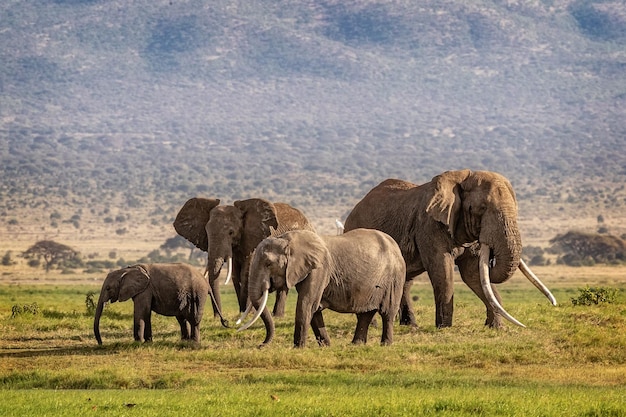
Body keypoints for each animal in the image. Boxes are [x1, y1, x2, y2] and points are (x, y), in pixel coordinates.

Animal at [91, 264, 221, 344]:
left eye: (108, 288)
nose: (101, 343)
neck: (126, 270)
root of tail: (206, 283)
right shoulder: (143, 290)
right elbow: (146, 313)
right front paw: (148, 342)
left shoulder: (145, 289)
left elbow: (141, 312)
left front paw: (137, 342)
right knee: (182, 319)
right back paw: (184, 341)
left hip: (198, 294)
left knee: (194, 318)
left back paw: (194, 343)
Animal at [236, 228, 402, 348]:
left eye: (268, 264)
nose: (260, 346)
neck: (287, 239)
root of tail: (396, 246)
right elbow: (314, 308)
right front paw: (326, 346)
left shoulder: (319, 269)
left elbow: (306, 304)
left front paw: (298, 348)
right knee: (365, 314)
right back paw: (356, 345)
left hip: (394, 278)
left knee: (387, 313)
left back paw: (385, 345)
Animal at [342, 169, 556, 328]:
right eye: (482, 208)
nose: (492, 258)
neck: (461, 178)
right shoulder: (429, 225)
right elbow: (442, 269)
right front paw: (444, 328)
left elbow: (472, 272)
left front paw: (496, 328)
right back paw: (374, 326)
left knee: (405, 280)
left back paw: (410, 326)